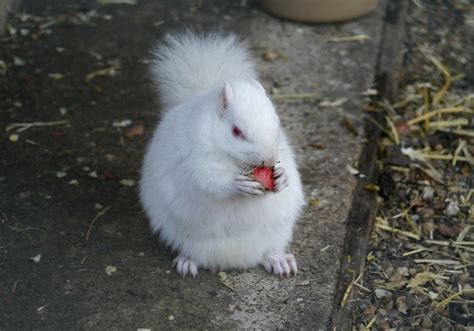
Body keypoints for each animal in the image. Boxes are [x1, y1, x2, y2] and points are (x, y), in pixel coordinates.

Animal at [139, 31, 306, 278]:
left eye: (277, 124)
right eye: (236, 131)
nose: (268, 159)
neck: (232, 159)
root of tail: (235, 259)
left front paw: (282, 177)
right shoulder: (195, 158)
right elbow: (208, 182)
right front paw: (237, 185)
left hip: (279, 230)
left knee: (270, 250)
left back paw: (278, 260)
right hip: (179, 232)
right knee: (191, 251)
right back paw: (187, 261)